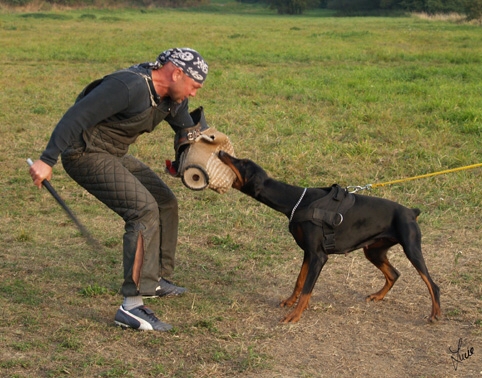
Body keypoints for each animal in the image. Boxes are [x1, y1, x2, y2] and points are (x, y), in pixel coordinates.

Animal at [218, 152, 440, 324]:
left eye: (242, 163)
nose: (220, 152)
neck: (297, 201)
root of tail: (411, 212)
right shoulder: (308, 252)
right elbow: (299, 281)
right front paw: (290, 301)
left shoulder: (319, 256)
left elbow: (307, 289)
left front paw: (294, 315)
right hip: (374, 251)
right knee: (394, 274)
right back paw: (378, 296)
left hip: (411, 248)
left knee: (432, 284)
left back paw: (435, 314)